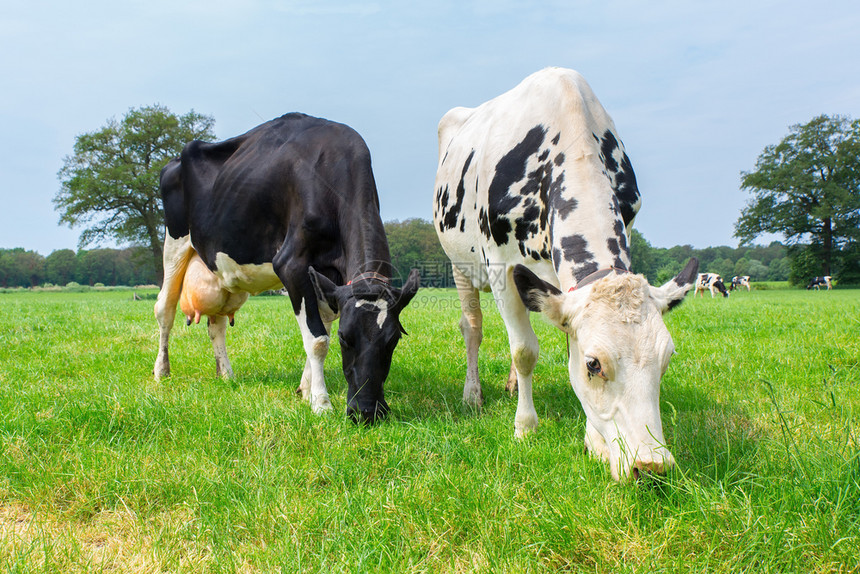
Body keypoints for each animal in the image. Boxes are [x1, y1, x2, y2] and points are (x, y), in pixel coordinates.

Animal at [158, 115, 424, 426]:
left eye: (393, 339)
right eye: (346, 338)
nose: (367, 412)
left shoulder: (327, 280)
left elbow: (319, 329)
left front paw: (306, 390)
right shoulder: (292, 265)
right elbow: (318, 339)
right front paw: (321, 403)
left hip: (221, 272)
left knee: (217, 325)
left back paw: (226, 375)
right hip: (174, 242)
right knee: (165, 309)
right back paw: (161, 372)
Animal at [434, 66, 704, 482]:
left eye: (667, 358)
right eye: (594, 364)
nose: (650, 465)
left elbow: (561, 347)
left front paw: (593, 440)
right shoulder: (501, 268)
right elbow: (524, 350)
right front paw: (525, 427)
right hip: (459, 264)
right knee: (473, 328)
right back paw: (473, 394)